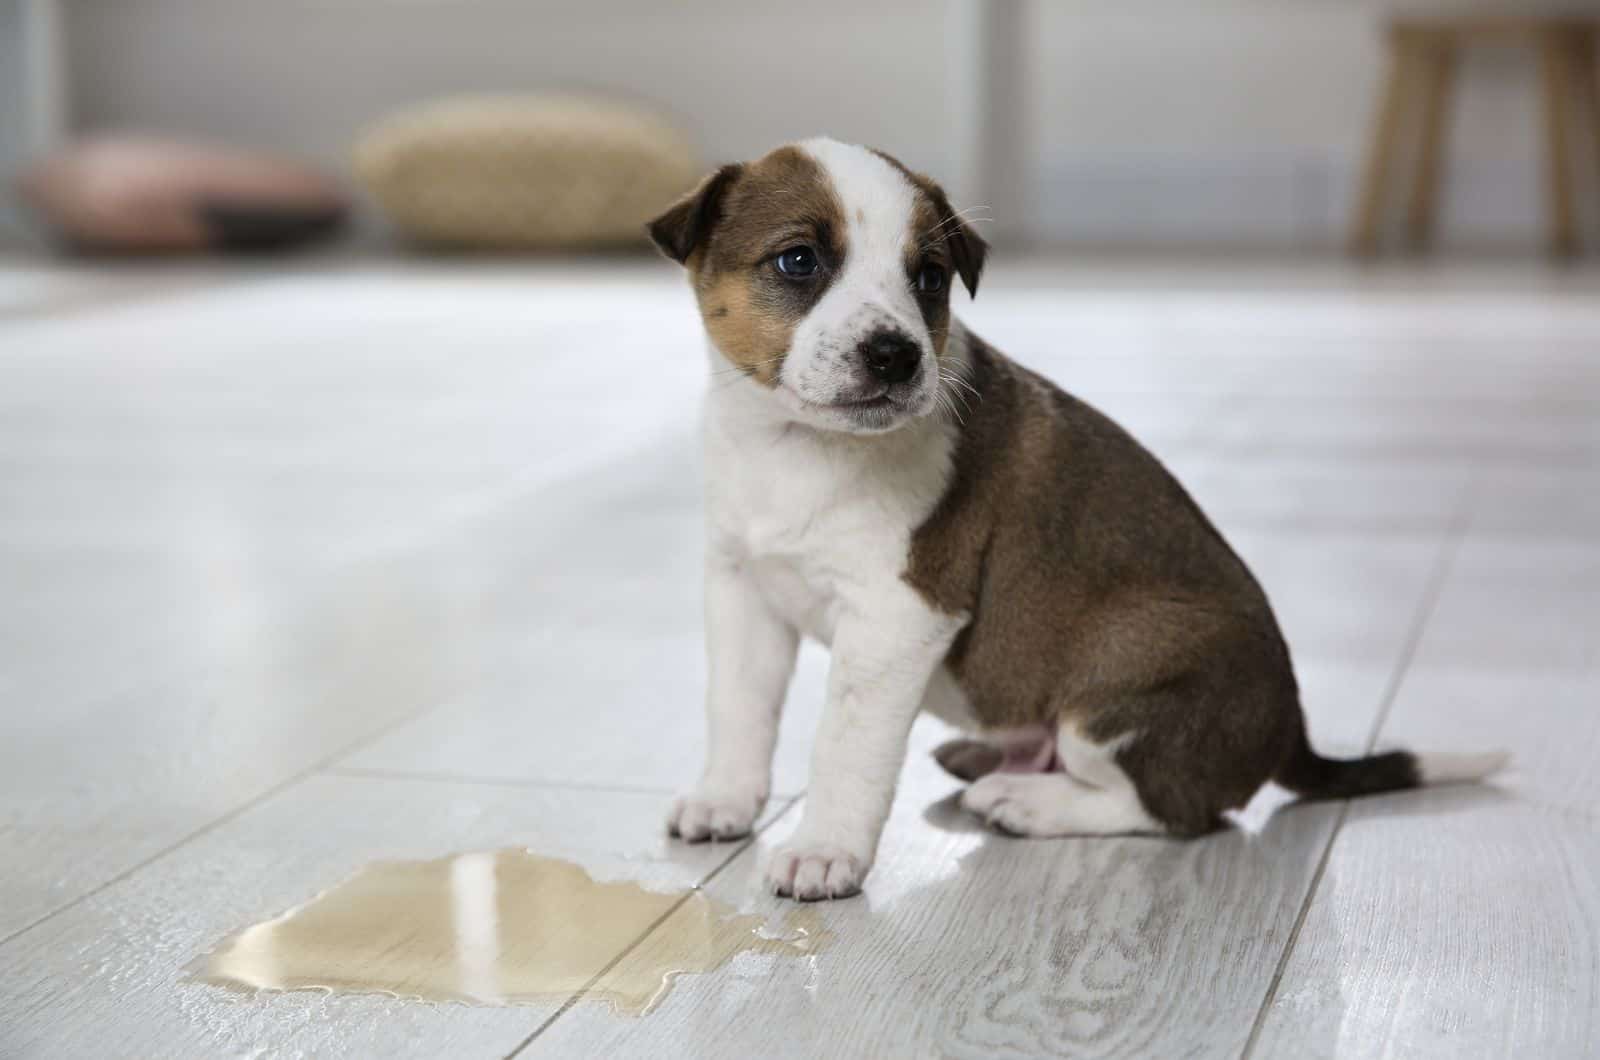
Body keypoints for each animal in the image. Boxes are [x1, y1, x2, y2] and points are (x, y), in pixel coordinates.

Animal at [646, 136, 1497, 903]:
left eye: (929, 277)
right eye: (798, 261)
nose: (896, 355)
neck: (794, 447)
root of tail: (1291, 731)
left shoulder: (897, 617)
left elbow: (845, 746)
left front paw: (825, 850)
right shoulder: (744, 589)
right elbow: (738, 708)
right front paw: (725, 798)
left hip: (1120, 679)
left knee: (1176, 809)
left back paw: (1025, 801)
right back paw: (989, 762)